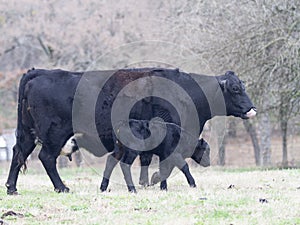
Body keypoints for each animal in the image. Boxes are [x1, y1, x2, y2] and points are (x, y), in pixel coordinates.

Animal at [4, 67, 255, 194]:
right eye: (235, 88)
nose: (252, 108)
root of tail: (39, 72)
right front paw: (154, 180)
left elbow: (146, 159)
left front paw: (145, 181)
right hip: (54, 135)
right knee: (46, 157)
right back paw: (62, 187)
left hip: (28, 133)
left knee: (18, 153)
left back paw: (12, 188)